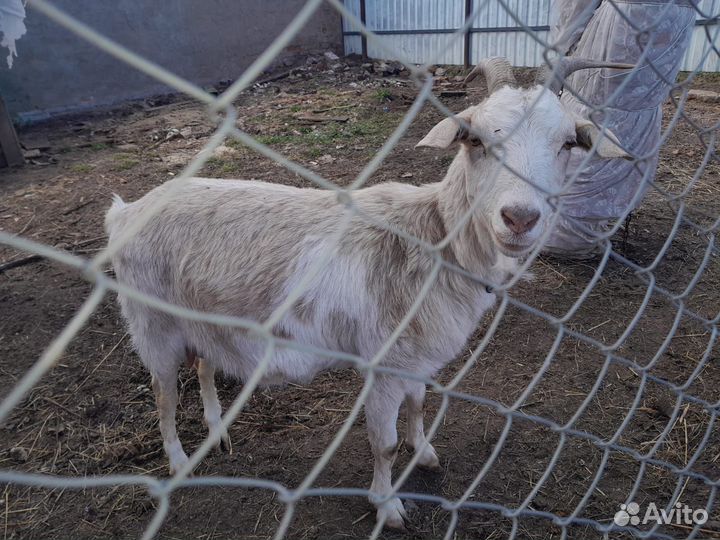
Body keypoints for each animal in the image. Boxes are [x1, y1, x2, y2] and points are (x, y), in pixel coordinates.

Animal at [105, 57, 630, 530]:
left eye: (568, 143)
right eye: (476, 140)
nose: (519, 218)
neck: (433, 238)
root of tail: (126, 211)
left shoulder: (417, 359)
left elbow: (419, 405)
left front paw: (426, 452)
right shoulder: (383, 363)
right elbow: (385, 444)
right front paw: (388, 507)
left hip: (204, 317)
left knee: (205, 365)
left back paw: (219, 432)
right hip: (151, 323)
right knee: (164, 394)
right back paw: (178, 464)